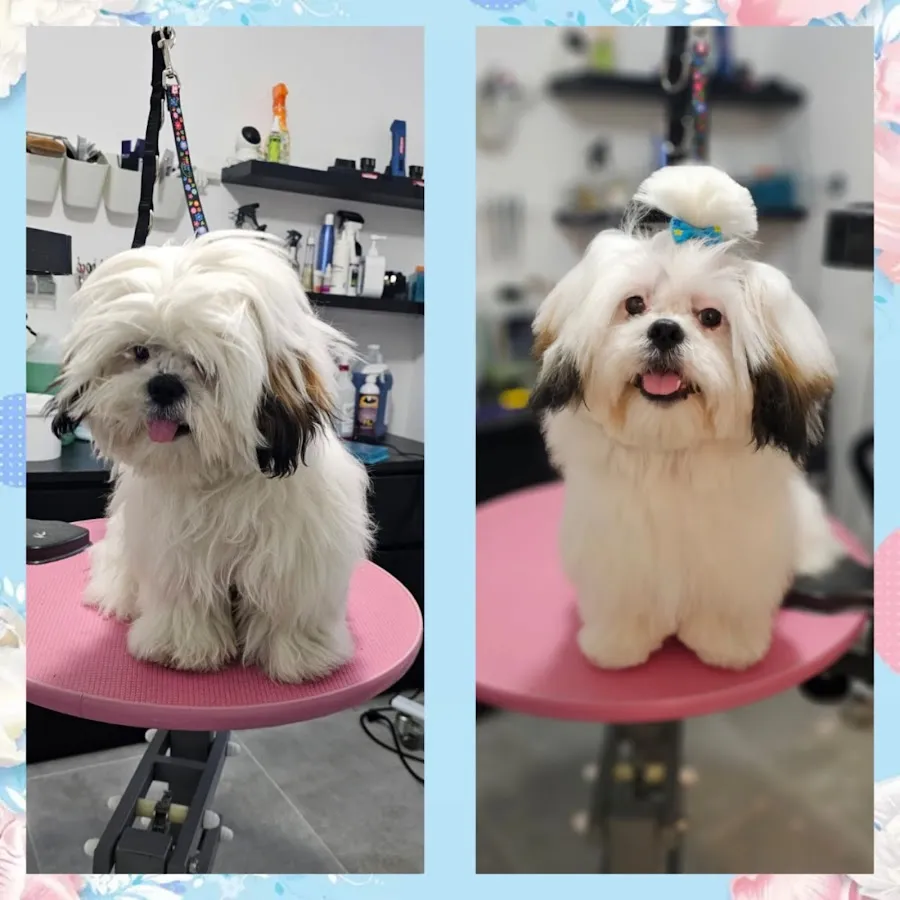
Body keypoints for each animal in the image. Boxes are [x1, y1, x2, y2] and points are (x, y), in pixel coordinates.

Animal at [49, 230, 373, 683]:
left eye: (203, 363)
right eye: (140, 352)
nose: (164, 385)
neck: (222, 478)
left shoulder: (294, 556)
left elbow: (289, 608)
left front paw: (301, 657)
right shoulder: (177, 555)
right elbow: (187, 599)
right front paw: (180, 648)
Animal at [530, 165, 842, 671]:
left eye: (711, 317)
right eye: (634, 305)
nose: (664, 330)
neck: (669, 452)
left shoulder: (736, 561)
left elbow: (727, 604)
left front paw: (728, 647)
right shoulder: (615, 552)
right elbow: (624, 602)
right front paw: (617, 645)